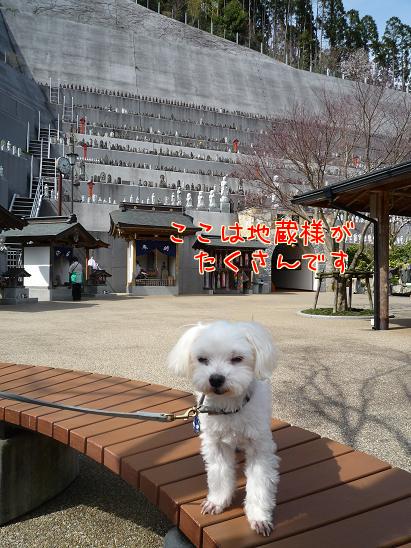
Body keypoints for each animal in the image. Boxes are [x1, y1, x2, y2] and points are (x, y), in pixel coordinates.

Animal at [168, 320, 280, 536]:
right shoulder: (216, 444)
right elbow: (219, 474)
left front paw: (259, 517)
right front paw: (217, 502)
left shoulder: (259, 447)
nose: (216, 378)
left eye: (237, 359)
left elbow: (259, 483)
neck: (229, 407)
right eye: (202, 359)